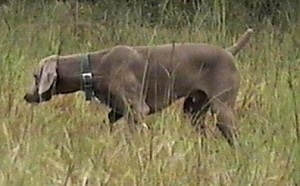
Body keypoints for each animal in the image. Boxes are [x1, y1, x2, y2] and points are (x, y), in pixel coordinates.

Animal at [24, 28, 253, 147]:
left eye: (36, 76)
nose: (27, 96)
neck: (93, 68)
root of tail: (229, 51)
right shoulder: (118, 109)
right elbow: (109, 122)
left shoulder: (137, 109)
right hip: (193, 109)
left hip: (222, 108)